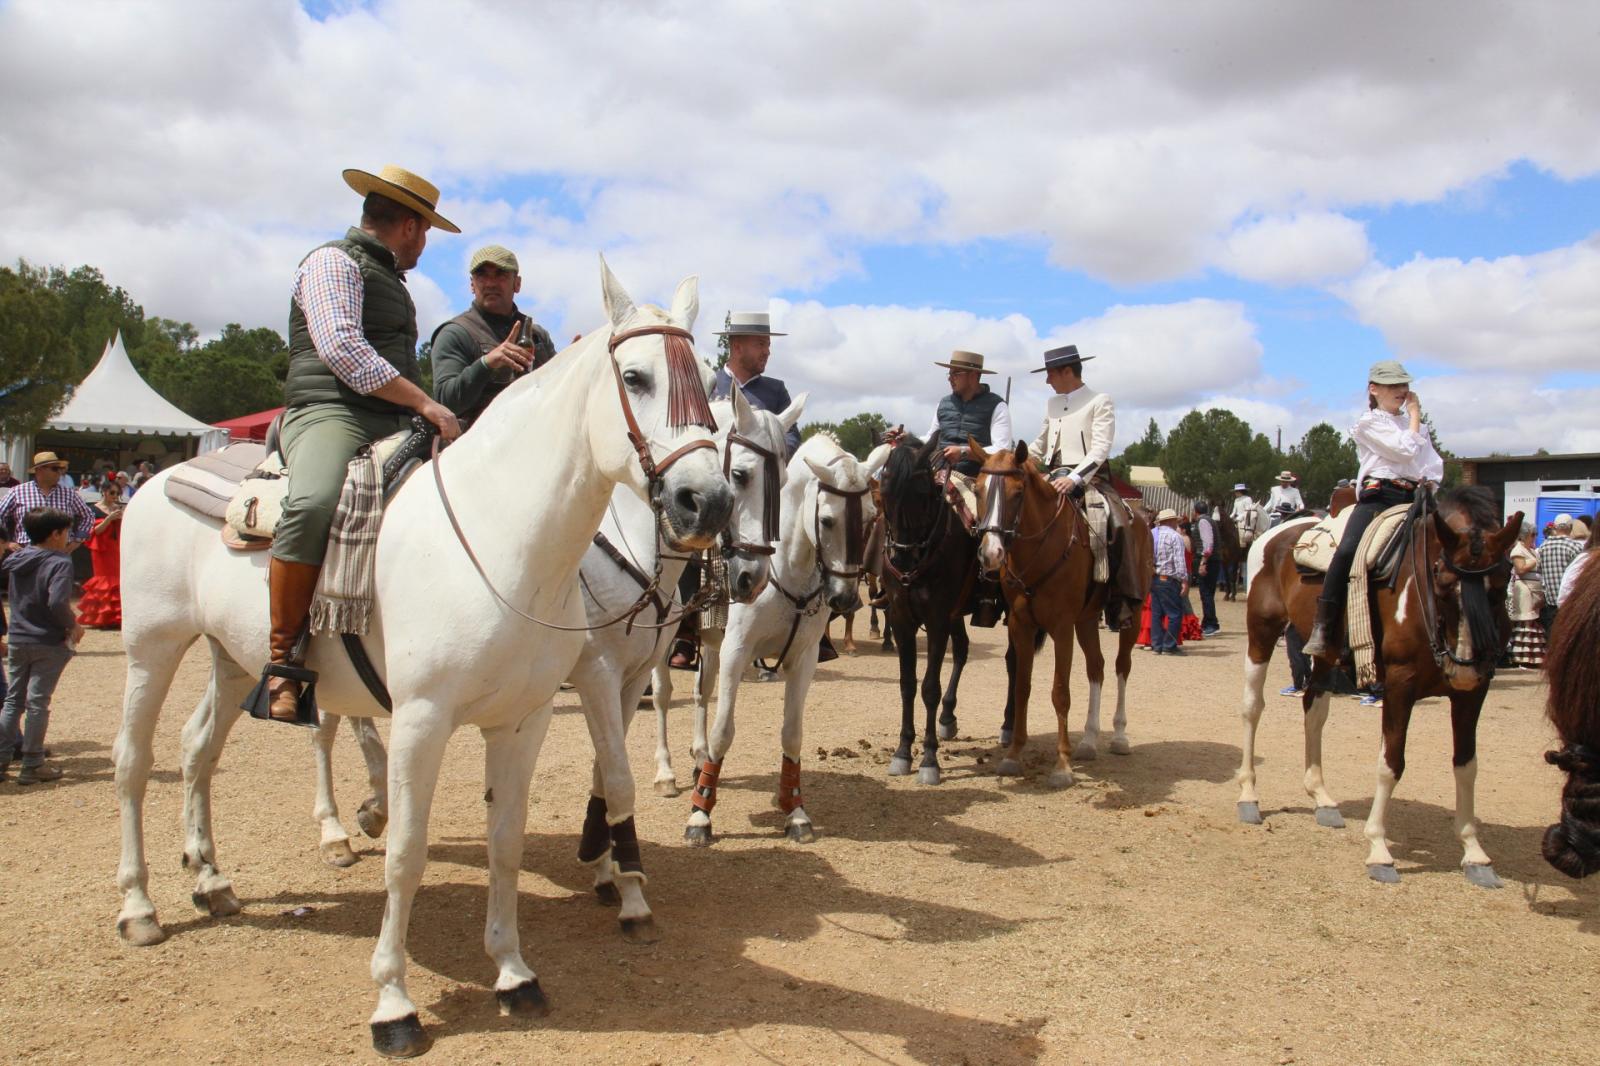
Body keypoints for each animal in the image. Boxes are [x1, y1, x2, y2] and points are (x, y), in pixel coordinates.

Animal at [111, 259, 732, 1056]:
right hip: (151, 648)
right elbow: (407, 855)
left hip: (234, 659)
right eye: (636, 376)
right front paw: (394, 1003)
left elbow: (510, 838)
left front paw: (515, 972)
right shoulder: (427, 719)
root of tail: (159, 482)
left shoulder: (526, 719)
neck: (502, 539)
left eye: (708, 385)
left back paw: (212, 880)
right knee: (134, 764)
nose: (704, 503)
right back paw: (142, 906)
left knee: (197, 751)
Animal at [656, 435, 896, 845]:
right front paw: (700, 815)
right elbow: (724, 732)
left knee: (701, 694)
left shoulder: (804, 659)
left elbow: (792, 734)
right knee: (662, 696)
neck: (785, 572)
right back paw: (666, 774)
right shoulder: (737, 652)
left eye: (869, 518)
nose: (845, 599)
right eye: (827, 520)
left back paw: (698, 759)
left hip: (711, 643)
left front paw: (795, 811)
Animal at [966, 438, 1145, 781]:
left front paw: (1062, 765)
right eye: (978, 489)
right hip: (1087, 620)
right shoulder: (1021, 625)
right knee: (1097, 667)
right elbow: (1021, 687)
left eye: (1017, 492)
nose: (991, 554)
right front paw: (1013, 754)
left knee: (1122, 667)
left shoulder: (1062, 627)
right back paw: (1088, 741)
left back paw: (1119, 736)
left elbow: (1060, 692)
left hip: (1133, 616)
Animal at [1235, 486, 1523, 883]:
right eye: (1441, 580)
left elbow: (1466, 765)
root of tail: (1277, 534)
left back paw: (1321, 797)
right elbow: (1391, 763)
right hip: (1261, 631)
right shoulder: (1401, 684)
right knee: (1252, 708)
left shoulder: (1473, 692)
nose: (1463, 666)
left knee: (1314, 709)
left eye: (1501, 582)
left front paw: (1475, 854)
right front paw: (1379, 850)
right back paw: (1249, 795)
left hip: (1324, 653)